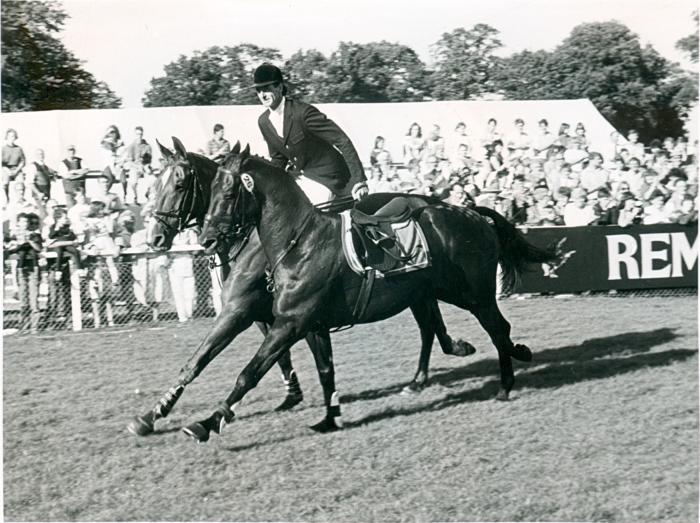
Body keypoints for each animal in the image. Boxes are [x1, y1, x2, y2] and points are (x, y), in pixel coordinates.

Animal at [126, 138, 476, 438]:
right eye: (154, 185)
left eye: (179, 184)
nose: (155, 238)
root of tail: (431, 200)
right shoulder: (268, 315)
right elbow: (271, 359)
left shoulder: (242, 311)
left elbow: (212, 360)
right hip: (418, 291)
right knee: (430, 324)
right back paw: (430, 370)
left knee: (430, 324)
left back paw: (441, 361)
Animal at [185, 145, 556, 444]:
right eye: (210, 189)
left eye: (228, 193)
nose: (206, 239)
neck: (300, 244)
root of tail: (472, 213)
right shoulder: (308, 325)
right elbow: (326, 371)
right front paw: (329, 419)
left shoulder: (290, 323)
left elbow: (249, 373)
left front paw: (206, 423)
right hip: (433, 293)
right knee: (442, 329)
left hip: (471, 294)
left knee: (497, 329)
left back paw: (507, 380)